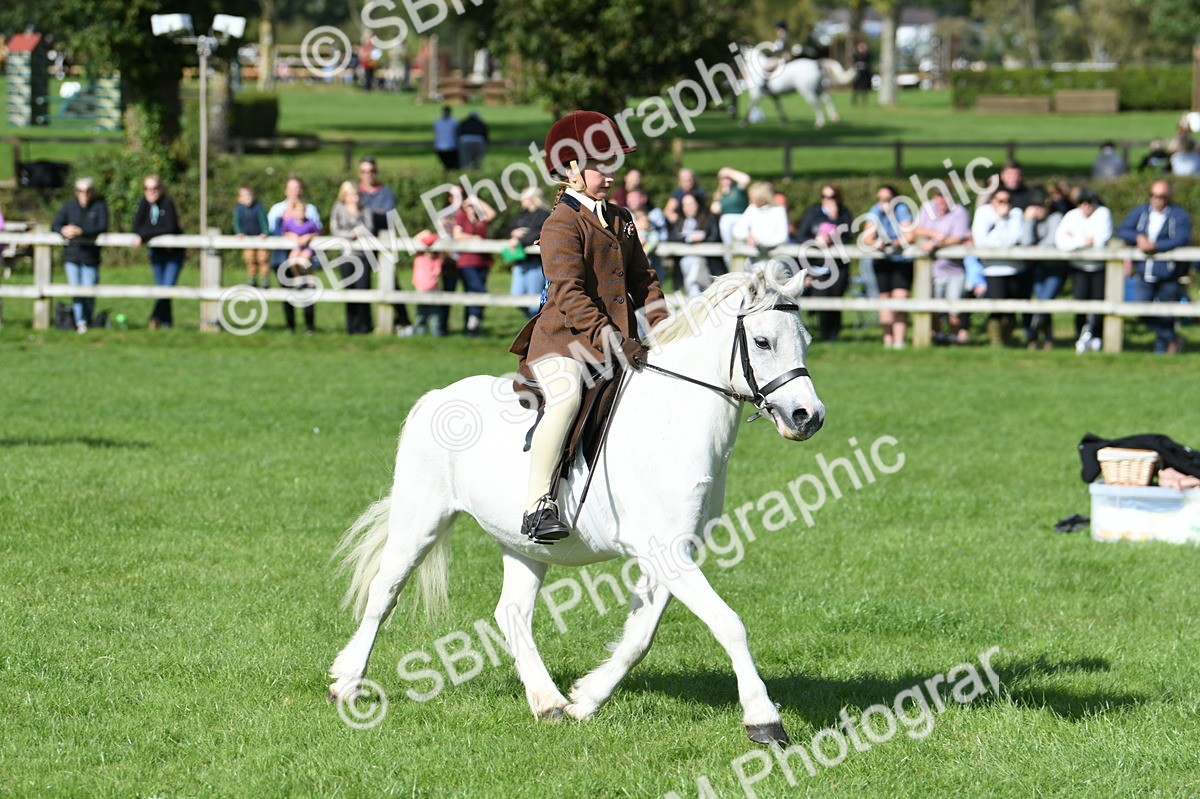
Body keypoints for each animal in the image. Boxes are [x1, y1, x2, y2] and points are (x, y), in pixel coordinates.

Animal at [329, 267, 826, 745]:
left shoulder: (672, 552)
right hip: (421, 519)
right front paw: (764, 720)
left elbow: (640, 635)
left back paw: (548, 702)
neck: (671, 421)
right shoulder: (664, 550)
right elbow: (728, 623)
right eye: (762, 342)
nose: (809, 417)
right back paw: (348, 682)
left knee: (511, 612)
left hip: (524, 544)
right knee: (384, 593)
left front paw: (587, 699)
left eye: (806, 340)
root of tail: (436, 396)